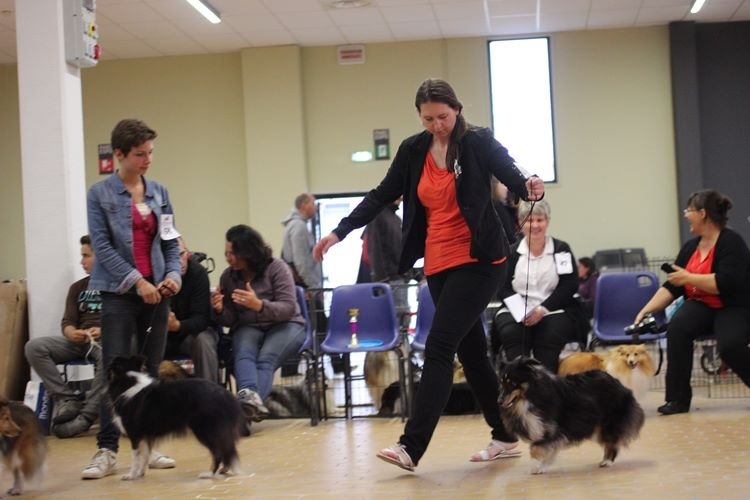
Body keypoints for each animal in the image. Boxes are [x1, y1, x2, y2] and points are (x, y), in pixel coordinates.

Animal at [108, 356, 242, 480]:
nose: (108, 363)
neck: (129, 382)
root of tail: (225, 394)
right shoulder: (145, 435)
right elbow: (145, 455)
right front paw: (140, 473)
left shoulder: (135, 435)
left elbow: (136, 458)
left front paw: (131, 475)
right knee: (226, 448)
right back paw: (224, 469)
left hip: (205, 429)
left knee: (218, 451)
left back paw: (209, 473)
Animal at [500, 358, 648, 474]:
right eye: (501, 382)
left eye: (512, 382)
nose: (499, 401)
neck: (531, 395)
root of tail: (619, 383)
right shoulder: (549, 432)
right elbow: (546, 448)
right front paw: (543, 466)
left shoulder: (553, 429)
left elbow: (535, 448)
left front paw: (536, 467)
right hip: (596, 428)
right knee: (609, 442)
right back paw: (604, 461)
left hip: (609, 423)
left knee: (612, 442)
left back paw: (607, 462)